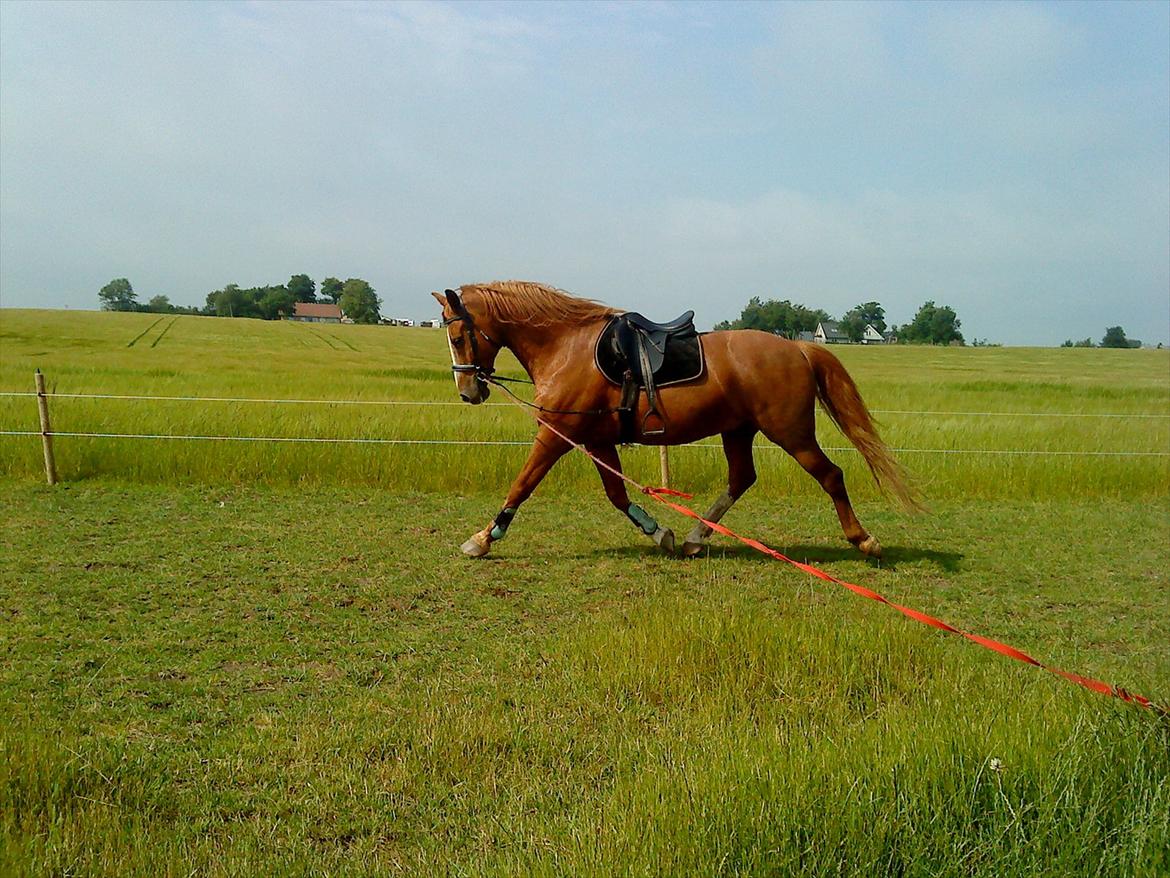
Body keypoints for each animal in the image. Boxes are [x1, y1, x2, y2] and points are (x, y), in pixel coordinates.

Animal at [435, 282, 917, 559]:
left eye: (457, 335)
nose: (468, 391)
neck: (567, 347)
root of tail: (796, 348)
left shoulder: (557, 437)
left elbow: (522, 484)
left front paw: (483, 538)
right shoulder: (595, 441)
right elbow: (617, 496)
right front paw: (659, 533)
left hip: (791, 433)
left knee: (831, 475)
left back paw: (863, 539)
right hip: (738, 430)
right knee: (741, 478)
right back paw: (694, 537)